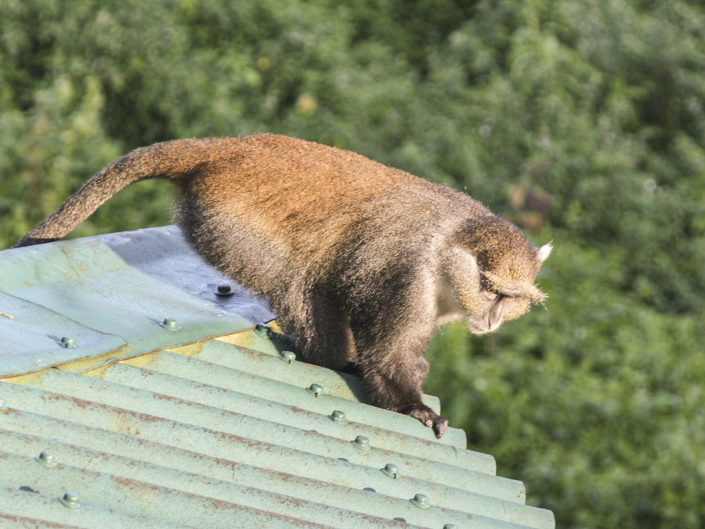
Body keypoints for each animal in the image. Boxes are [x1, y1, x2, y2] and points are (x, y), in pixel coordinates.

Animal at [12, 133, 552, 438]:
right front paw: (414, 406)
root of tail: (226, 147)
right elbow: (390, 351)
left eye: (511, 299)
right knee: (300, 281)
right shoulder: (409, 273)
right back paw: (324, 354)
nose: (491, 319)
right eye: (489, 288)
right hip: (230, 225)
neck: (449, 247)